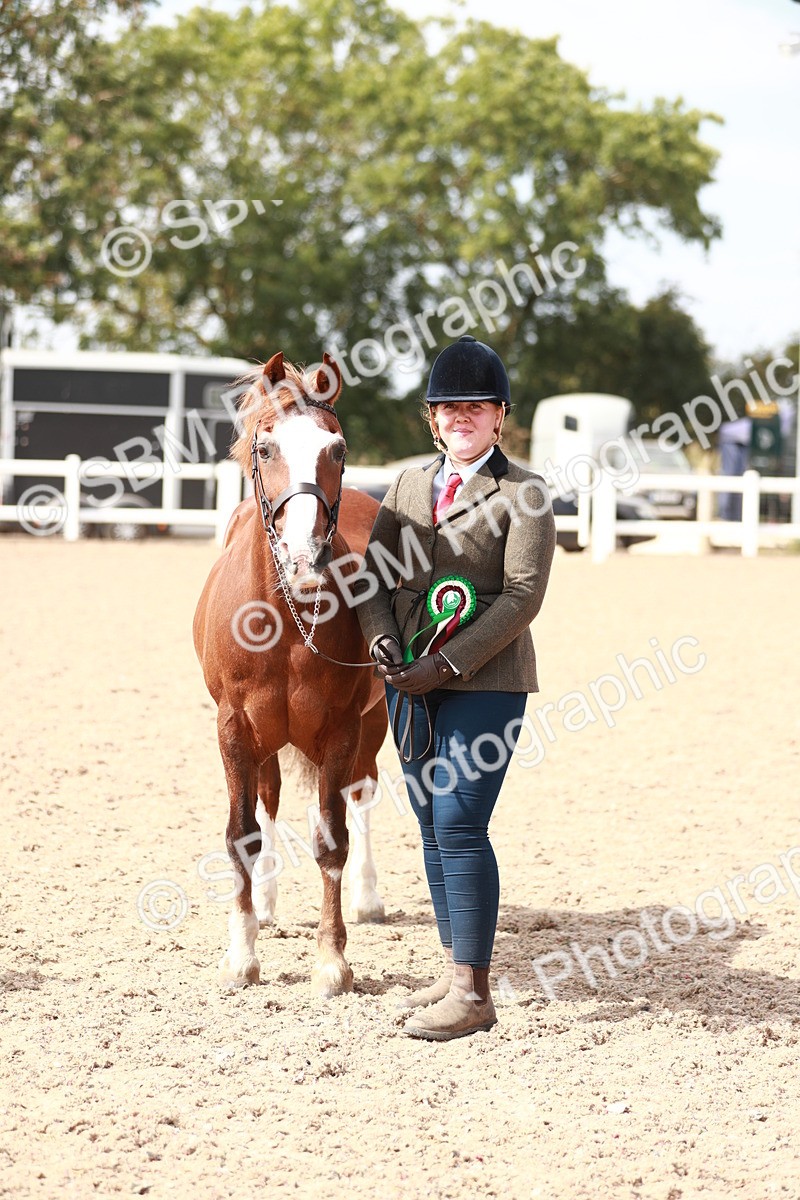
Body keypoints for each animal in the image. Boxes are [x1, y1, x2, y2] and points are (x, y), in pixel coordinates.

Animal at [193, 350, 388, 996]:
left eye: (338, 448)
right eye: (264, 447)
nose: (306, 561)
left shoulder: (342, 727)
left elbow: (333, 837)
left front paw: (332, 962)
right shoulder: (234, 729)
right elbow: (242, 832)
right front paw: (241, 955)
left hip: (373, 724)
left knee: (361, 793)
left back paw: (368, 898)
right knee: (272, 801)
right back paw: (268, 904)